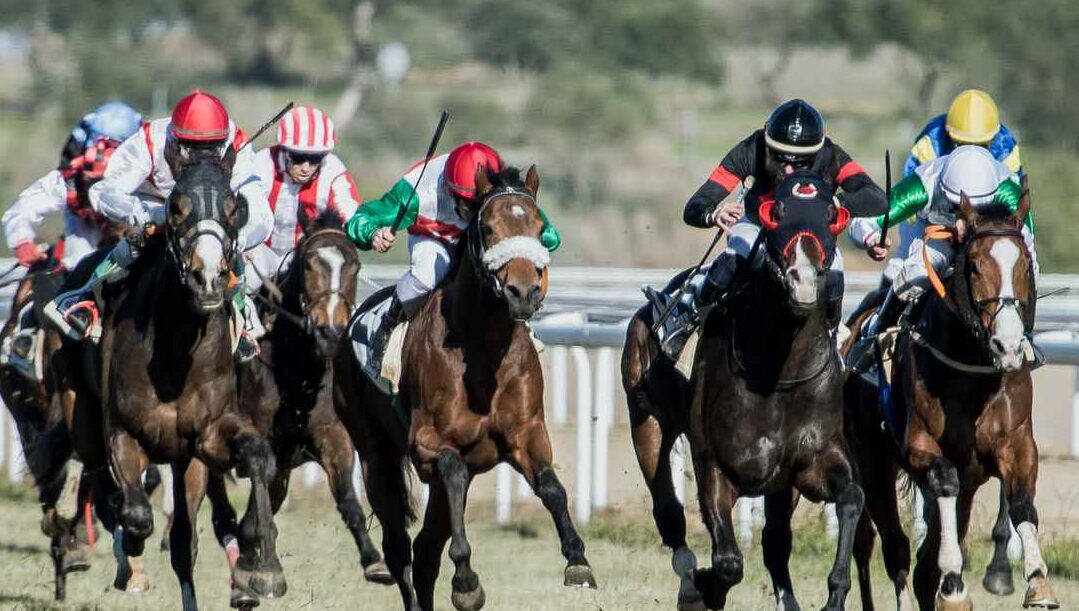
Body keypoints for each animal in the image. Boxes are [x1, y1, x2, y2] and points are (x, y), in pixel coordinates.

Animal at [79, 146, 284, 611]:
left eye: (234, 207)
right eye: (175, 207)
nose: (207, 278)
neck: (175, 355)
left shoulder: (205, 438)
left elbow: (257, 456)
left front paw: (264, 568)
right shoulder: (122, 432)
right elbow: (136, 515)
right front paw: (129, 555)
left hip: (184, 459)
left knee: (182, 540)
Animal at [238, 208, 391, 584]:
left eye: (354, 265)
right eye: (309, 264)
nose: (329, 330)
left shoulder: (329, 432)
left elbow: (348, 497)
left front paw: (374, 559)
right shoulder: (257, 438)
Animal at [335, 164, 596, 611]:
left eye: (539, 226)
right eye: (488, 228)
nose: (524, 293)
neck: (483, 351)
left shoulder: (526, 433)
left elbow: (552, 487)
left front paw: (577, 560)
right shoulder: (427, 443)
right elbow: (452, 470)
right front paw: (466, 580)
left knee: (424, 552)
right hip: (374, 452)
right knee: (399, 548)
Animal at [686, 172, 863, 610]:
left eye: (831, 213)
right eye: (775, 211)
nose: (803, 278)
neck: (779, 375)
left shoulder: (813, 460)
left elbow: (852, 497)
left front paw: (836, 594)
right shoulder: (714, 463)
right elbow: (728, 561)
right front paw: (702, 585)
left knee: (776, 542)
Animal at [844, 191, 1058, 610]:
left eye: (1025, 263)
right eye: (973, 265)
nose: (1008, 346)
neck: (974, 372)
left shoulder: (1016, 444)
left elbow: (1023, 505)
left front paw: (1038, 583)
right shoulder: (920, 446)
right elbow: (943, 481)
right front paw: (956, 585)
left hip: (968, 482)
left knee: (924, 566)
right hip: (872, 463)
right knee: (895, 549)